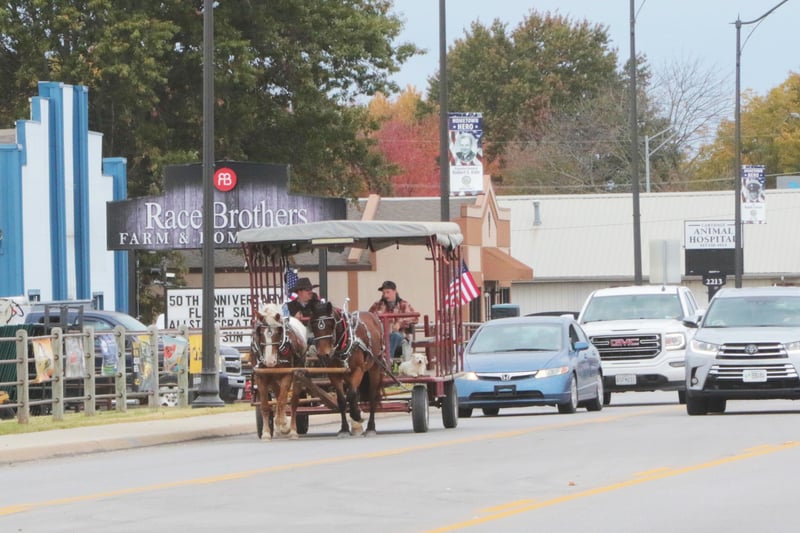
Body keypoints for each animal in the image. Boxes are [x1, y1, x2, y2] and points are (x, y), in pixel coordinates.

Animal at [251, 302, 308, 440]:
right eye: (260, 333)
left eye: (278, 333)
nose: (270, 361)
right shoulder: (261, 376)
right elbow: (265, 405)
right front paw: (266, 433)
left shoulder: (287, 374)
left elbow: (282, 400)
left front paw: (282, 423)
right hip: (272, 378)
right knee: (277, 393)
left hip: (297, 375)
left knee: (293, 402)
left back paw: (292, 430)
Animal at [308, 301, 386, 437]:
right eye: (313, 325)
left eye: (331, 324)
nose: (323, 355)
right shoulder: (334, 375)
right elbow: (342, 400)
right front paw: (344, 428)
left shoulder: (359, 370)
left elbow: (352, 394)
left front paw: (357, 415)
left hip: (374, 368)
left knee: (372, 396)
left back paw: (370, 427)